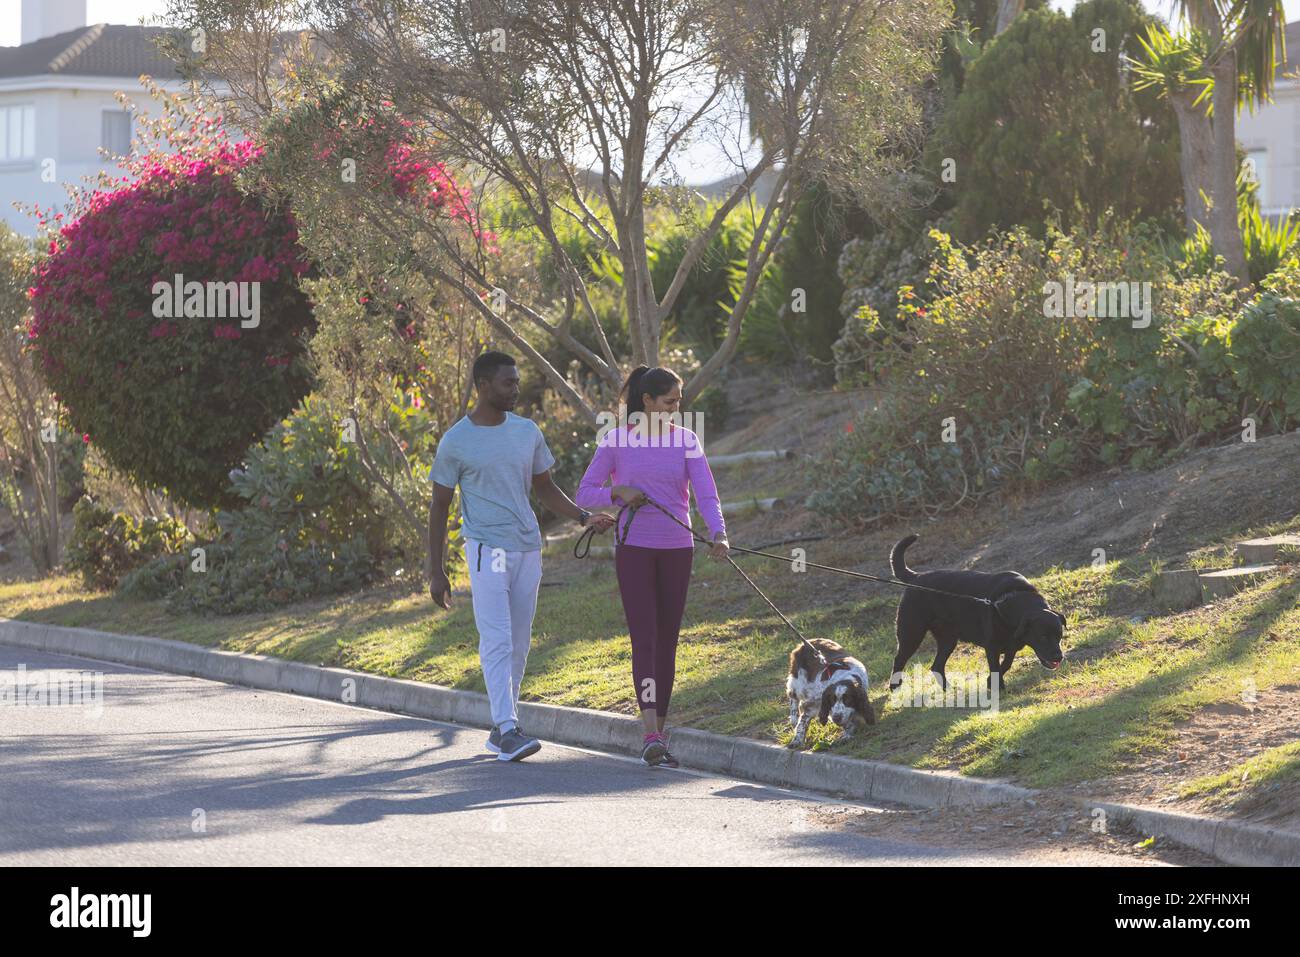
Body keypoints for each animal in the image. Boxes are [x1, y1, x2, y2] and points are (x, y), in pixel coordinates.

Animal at [889, 535, 1060, 691]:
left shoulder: (1011, 647)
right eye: (1043, 637)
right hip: (911, 634)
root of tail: (916, 577)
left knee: (936, 666)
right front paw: (998, 688)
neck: (1009, 602)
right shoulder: (992, 646)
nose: (1059, 657)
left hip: (948, 639)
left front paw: (991, 683)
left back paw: (949, 690)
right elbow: (996, 668)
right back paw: (894, 687)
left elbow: (1006, 665)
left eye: (1059, 636)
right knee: (899, 660)